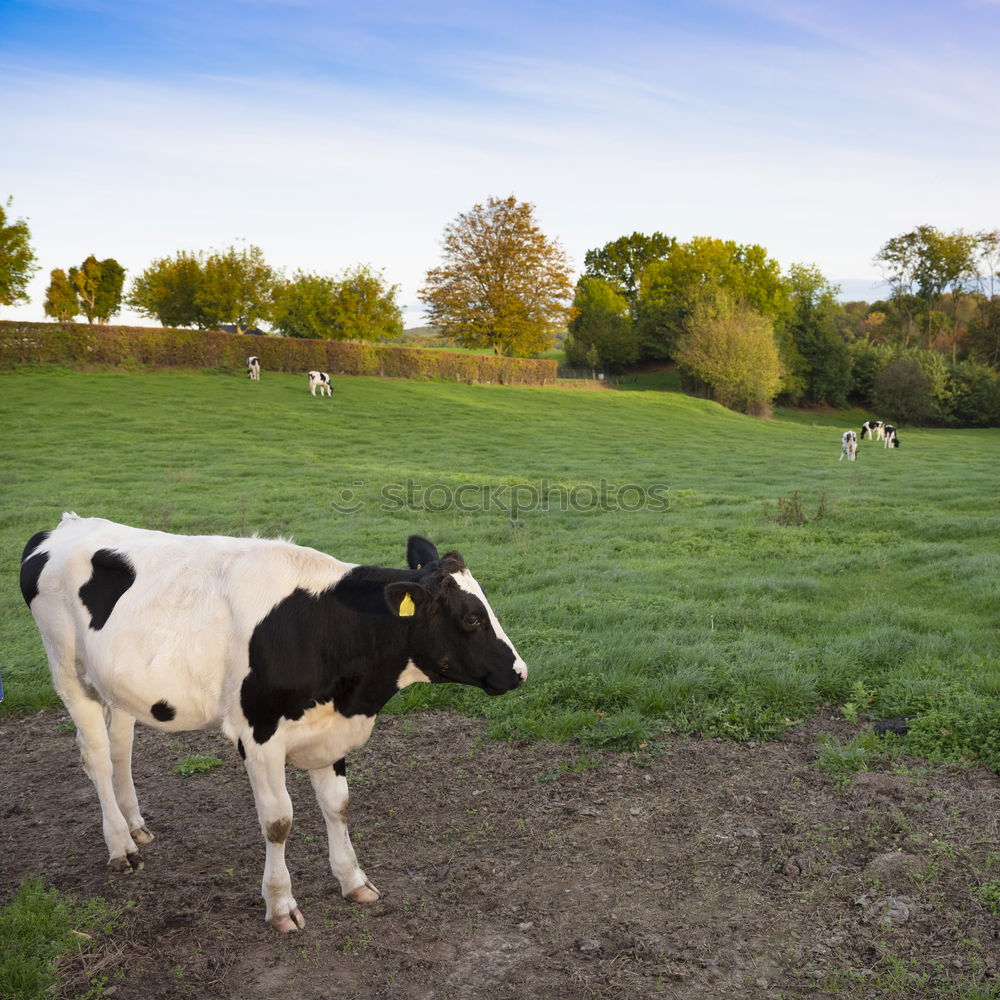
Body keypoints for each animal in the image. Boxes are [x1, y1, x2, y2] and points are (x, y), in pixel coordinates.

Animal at [19, 520, 528, 932]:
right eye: (471, 617)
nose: (520, 672)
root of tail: (64, 525)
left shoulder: (328, 730)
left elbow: (338, 806)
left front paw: (353, 880)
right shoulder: (257, 733)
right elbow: (279, 821)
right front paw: (281, 906)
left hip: (117, 684)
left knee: (121, 745)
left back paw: (136, 825)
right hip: (69, 674)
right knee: (97, 758)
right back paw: (121, 846)